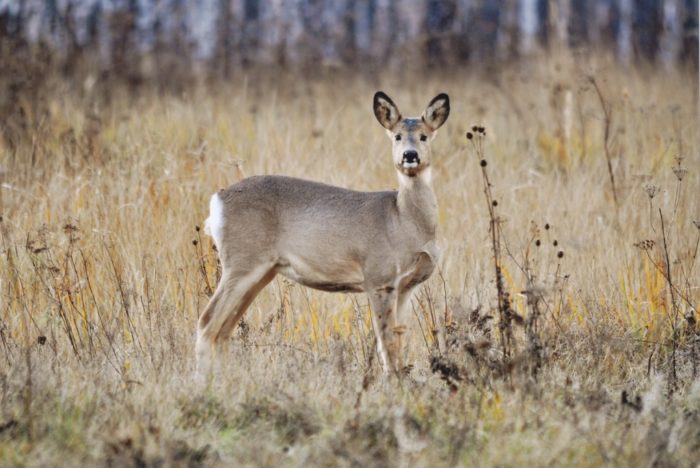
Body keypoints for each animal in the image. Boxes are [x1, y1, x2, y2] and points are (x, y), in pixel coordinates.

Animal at [194, 91, 452, 376]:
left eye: (424, 135)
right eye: (397, 135)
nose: (409, 155)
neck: (403, 220)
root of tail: (217, 200)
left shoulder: (405, 287)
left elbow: (397, 337)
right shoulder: (379, 277)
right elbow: (387, 343)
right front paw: (393, 380)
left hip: (262, 272)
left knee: (223, 330)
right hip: (242, 261)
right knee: (207, 323)